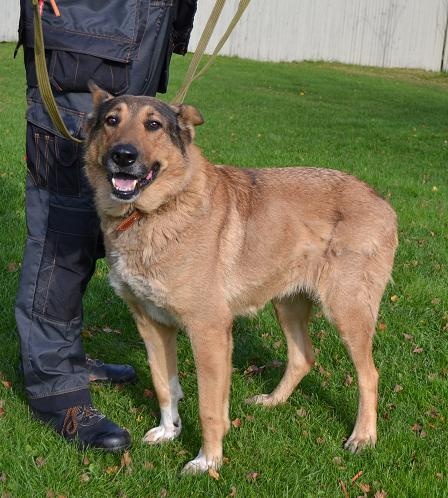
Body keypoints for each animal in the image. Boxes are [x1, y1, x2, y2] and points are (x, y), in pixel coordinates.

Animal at [84, 83, 398, 474]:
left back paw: (363, 436)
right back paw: (273, 401)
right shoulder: (152, 325)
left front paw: (208, 461)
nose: (123, 156)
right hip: (287, 305)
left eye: (153, 125)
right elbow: (164, 386)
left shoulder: (209, 332)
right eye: (112, 121)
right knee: (303, 357)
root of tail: (381, 200)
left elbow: (208, 409)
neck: (154, 213)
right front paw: (169, 431)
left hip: (347, 312)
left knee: (369, 375)